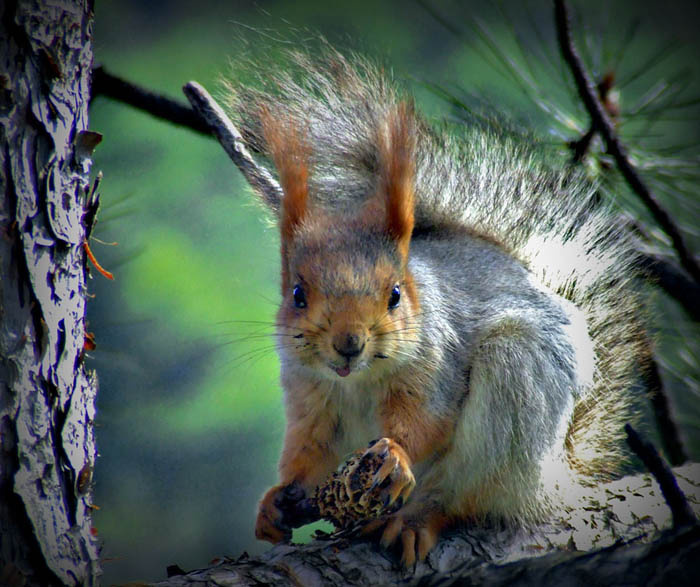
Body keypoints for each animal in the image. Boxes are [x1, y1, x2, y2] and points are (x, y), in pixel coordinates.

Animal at [224, 49, 649, 567]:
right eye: (298, 294)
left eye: (394, 294)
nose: (348, 344)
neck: (356, 381)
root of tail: (558, 479)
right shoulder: (309, 396)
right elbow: (309, 453)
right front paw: (275, 502)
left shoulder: (436, 363)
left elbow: (426, 422)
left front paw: (395, 455)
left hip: (516, 385)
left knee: (462, 495)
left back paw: (415, 520)